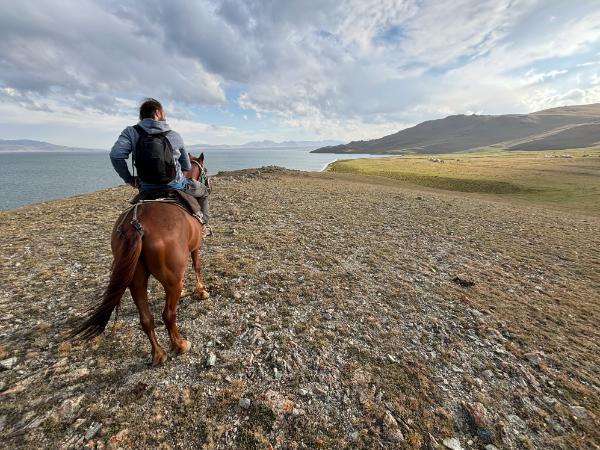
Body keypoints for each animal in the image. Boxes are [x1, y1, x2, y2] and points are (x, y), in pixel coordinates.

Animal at [71, 154, 211, 366]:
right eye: (205, 170)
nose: (208, 186)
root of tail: (136, 224)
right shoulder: (195, 247)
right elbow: (197, 266)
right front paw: (201, 291)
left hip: (135, 278)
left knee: (146, 319)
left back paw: (158, 354)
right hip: (170, 280)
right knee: (168, 315)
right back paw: (179, 345)